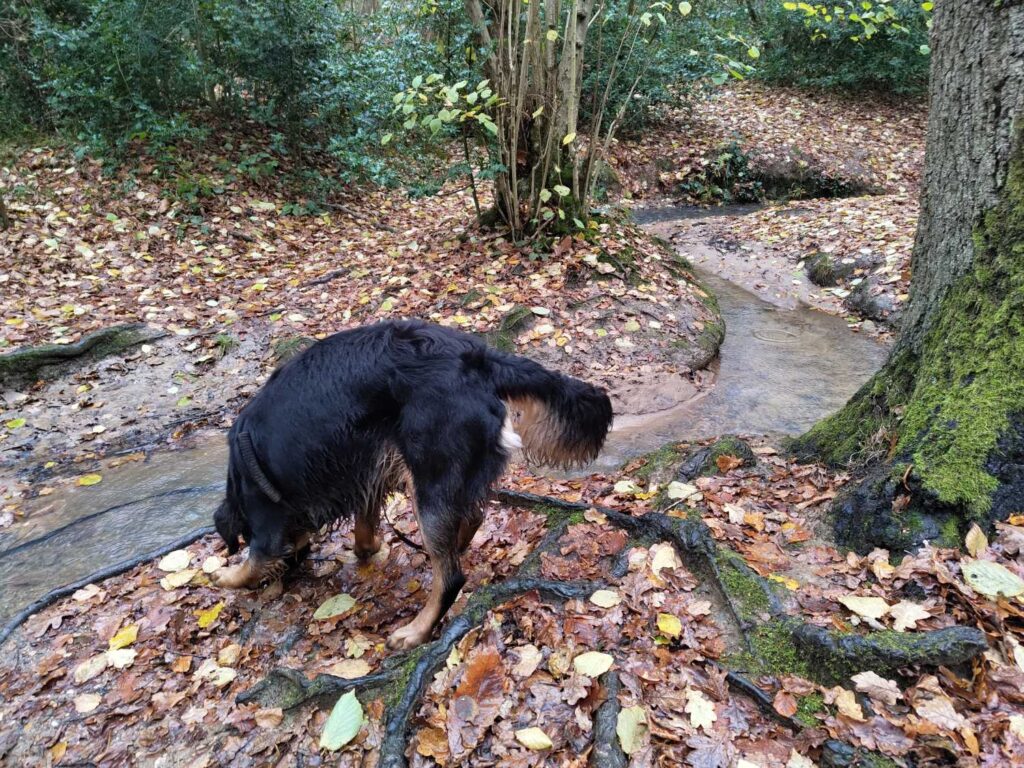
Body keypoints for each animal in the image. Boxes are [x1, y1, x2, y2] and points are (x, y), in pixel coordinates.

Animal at [208, 319, 606, 651]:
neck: (241, 469)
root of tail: (479, 359)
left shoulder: (266, 519)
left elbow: (252, 562)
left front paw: (224, 576)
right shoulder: (369, 467)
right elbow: (364, 523)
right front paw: (368, 547)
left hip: (429, 480)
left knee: (450, 578)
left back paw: (416, 630)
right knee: (472, 517)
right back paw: (455, 546)